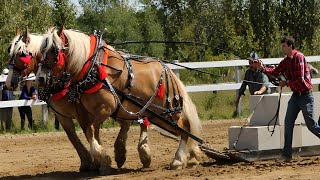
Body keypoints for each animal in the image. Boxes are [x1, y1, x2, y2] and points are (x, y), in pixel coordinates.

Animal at [37, 27, 202, 174]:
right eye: (41, 51)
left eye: (53, 50)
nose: (40, 78)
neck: (93, 68)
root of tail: (168, 71)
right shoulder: (86, 112)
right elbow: (91, 132)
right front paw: (103, 159)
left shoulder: (106, 108)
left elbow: (92, 129)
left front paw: (102, 157)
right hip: (156, 115)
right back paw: (191, 156)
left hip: (167, 113)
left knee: (186, 128)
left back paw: (178, 160)